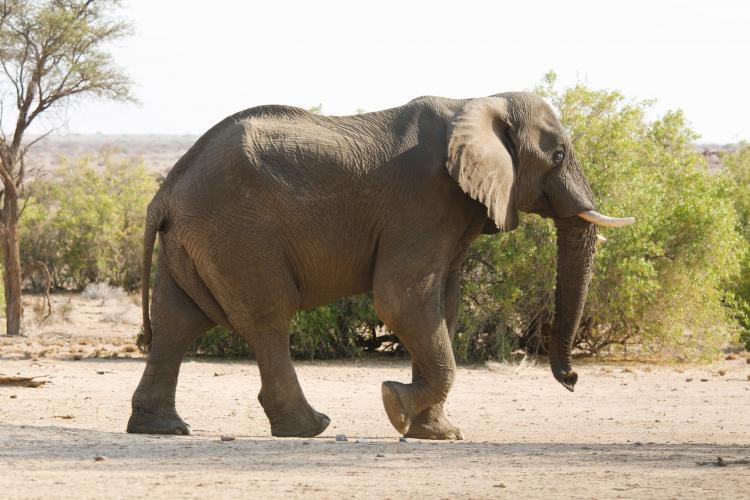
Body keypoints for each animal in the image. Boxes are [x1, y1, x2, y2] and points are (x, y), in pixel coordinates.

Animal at [127, 92, 633, 440]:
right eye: (559, 155)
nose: (571, 379)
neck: (478, 102)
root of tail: (164, 192)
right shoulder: (425, 201)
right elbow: (400, 299)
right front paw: (394, 402)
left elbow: (443, 306)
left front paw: (435, 433)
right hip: (236, 233)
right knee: (266, 317)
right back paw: (310, 427)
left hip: (195, 239)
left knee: (177, 322)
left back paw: (163, 428)